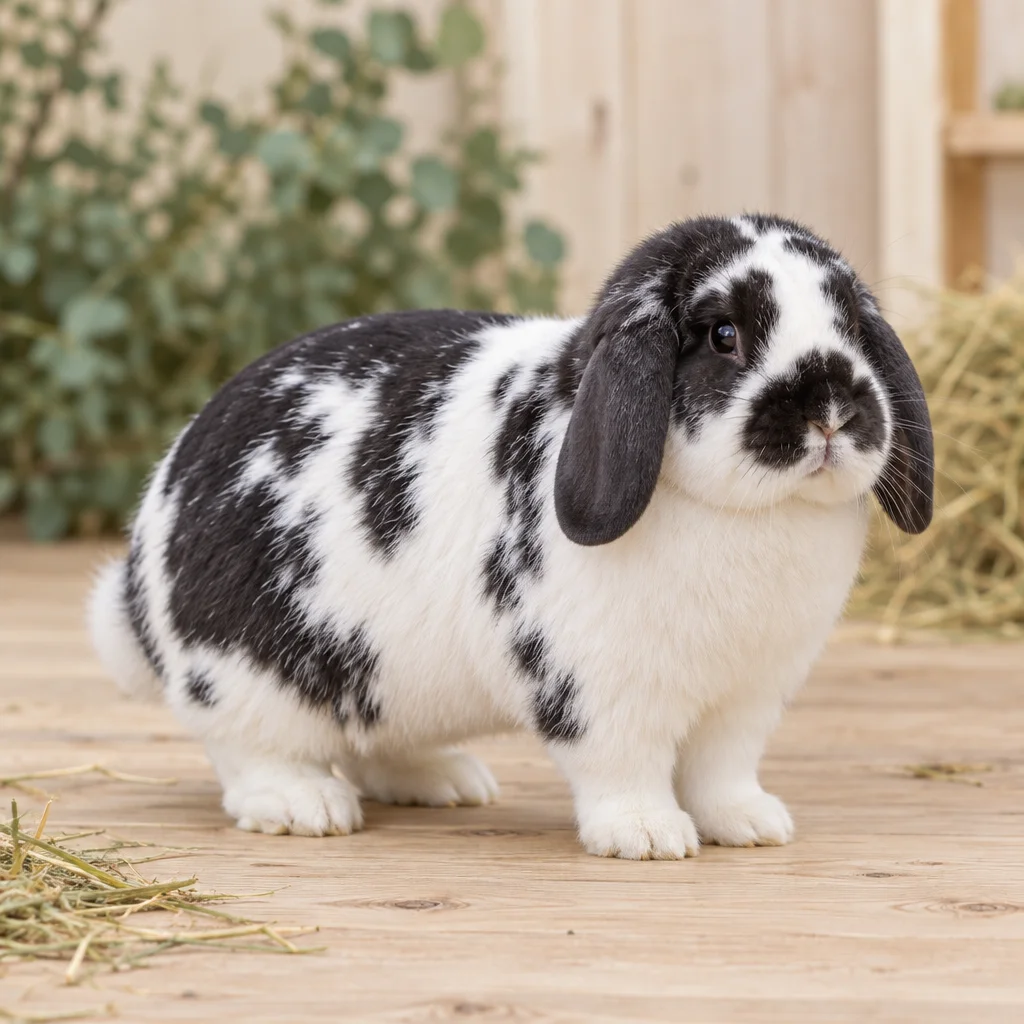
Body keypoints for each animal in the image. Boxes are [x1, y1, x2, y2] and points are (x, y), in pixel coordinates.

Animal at [88, 213, 933, 859]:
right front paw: (648, 835)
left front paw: (751, 825)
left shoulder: (747, 697)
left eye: (851, 326)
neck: (747, 515)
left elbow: (722, 771)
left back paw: (447, 782)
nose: (832, 408)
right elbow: (625, 766)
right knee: (247, 751)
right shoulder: (600, 690)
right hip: (244, 679)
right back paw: (305, 806)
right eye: (724, 334)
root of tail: (146, 554)